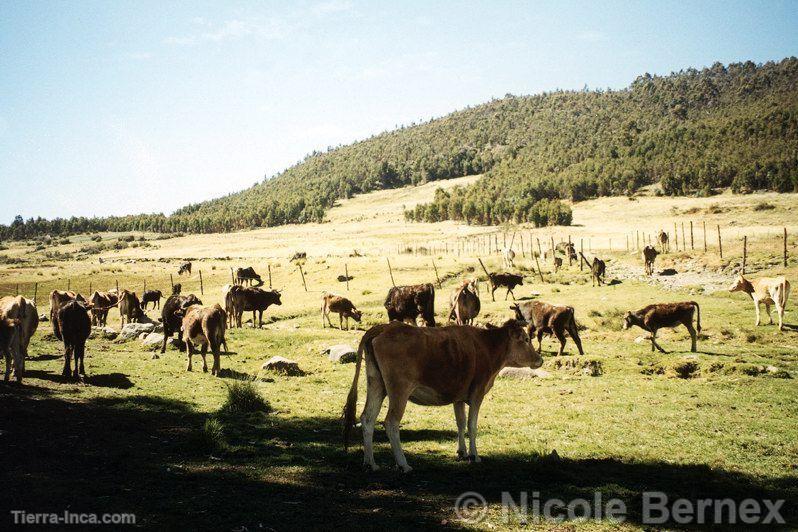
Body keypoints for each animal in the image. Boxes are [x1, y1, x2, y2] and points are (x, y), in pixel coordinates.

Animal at [344, 318, 544, 472]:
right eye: (526, 339)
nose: (540, 359)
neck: (487, 346)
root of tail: (386, 327)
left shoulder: (458, 397)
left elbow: (460, 423)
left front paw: (462, 452)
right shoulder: (477, 392)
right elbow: (472, 425)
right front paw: (474, 455)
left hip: (376, 384)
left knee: (368, 419)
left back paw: (370, 463)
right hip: (399, 390)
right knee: (391, 422)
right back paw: (403, 464)